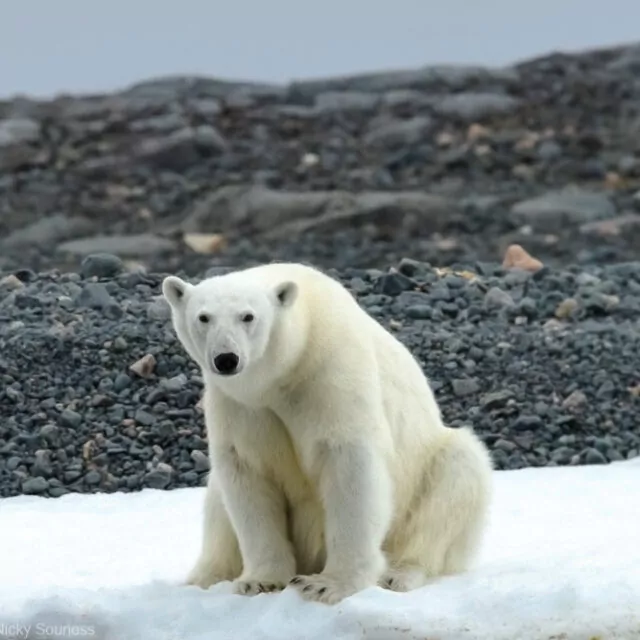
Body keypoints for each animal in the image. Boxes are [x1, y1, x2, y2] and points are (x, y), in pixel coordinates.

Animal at [162, 260, 492, 604]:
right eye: (203, 317)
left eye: (248, 316)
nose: (226, 359)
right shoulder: (240, 404)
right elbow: (247, 473)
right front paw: (260, 581)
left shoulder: (330, 374)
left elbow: (350, 465)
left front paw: (327, 584)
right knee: (217, 501)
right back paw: (203, 577)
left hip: (426, 477)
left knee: (456, 475)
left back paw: (399, 573)